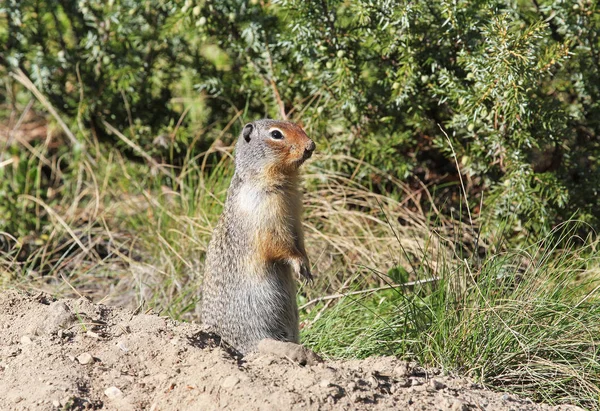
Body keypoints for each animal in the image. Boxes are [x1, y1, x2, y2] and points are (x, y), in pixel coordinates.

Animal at [200, 118, 316, 354]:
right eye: (276, 134)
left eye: (298, 126)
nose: (311, 145)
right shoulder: (264, 213)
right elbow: (278, 243)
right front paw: (298, 264)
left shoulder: (295, 215)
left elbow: (299, 238)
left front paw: (307, 268)